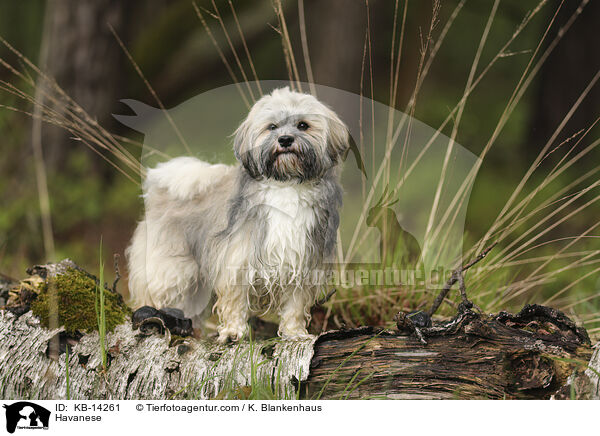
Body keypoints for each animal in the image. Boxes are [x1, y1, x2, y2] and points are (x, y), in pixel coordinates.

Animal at [127, 87, 352, 342]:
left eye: (303, 125)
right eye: (272, 127)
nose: (285, 140)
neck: (286, 186)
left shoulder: (304, 260)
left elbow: (295, 304)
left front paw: (294, 333)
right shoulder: (237, 258)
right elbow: (235, 300)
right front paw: (234, 331)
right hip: (169, 268)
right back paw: (154, 319)